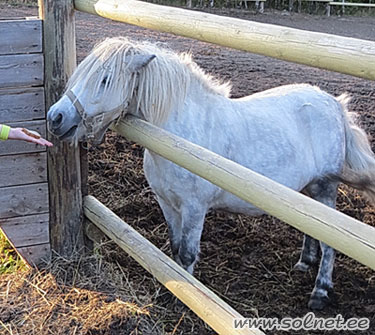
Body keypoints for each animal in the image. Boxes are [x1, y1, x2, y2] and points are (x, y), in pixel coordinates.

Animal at [47, 37, 375, 312]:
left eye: (105, 79)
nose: (55, 117)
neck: (178, 139)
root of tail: (335, 104)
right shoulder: (167, 203)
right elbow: (174, 248)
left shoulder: (195, 209)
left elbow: (188, 253)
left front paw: (184, 300)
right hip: (308, 192)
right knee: (313, 228)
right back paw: (304, 263)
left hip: (325, 187)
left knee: (330, 241)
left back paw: (320, 292)